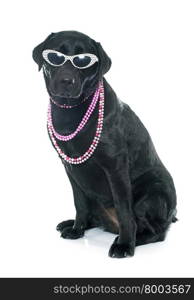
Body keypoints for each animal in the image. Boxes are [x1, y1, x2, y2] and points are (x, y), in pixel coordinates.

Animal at [33, 30, 177, 258]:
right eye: (55, 57)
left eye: (83, 60)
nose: (66, 80)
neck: (73, 112)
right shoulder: (70, 169)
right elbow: (79, 203)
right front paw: (77, 230)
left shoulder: (115, 167)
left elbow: (124, 210)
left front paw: (125, 245)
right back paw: (71, 224)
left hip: (153, 191)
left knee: (156, 232)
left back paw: (131, 239)